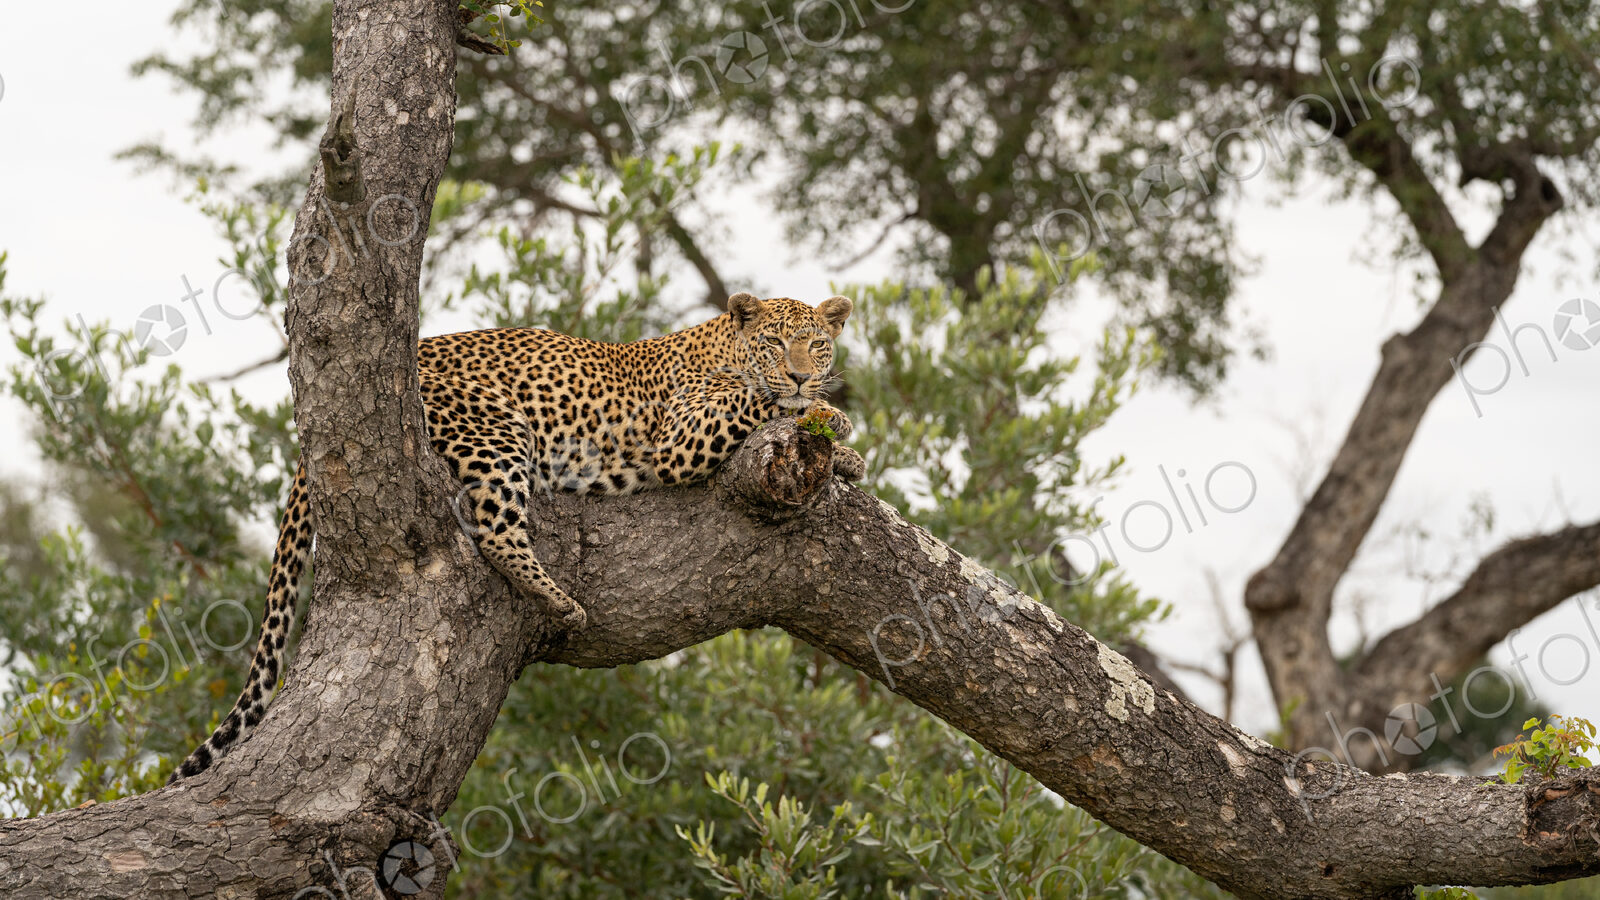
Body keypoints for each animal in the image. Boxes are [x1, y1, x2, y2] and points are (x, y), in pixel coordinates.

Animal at [170, 292, 860, 781]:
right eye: (774, 343)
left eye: (817, 344)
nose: (803, 375)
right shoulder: (682, 437)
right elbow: (762, 403)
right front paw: (823, 413)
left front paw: (843, 449)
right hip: (494, 427)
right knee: (495, 530)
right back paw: (560, 601)